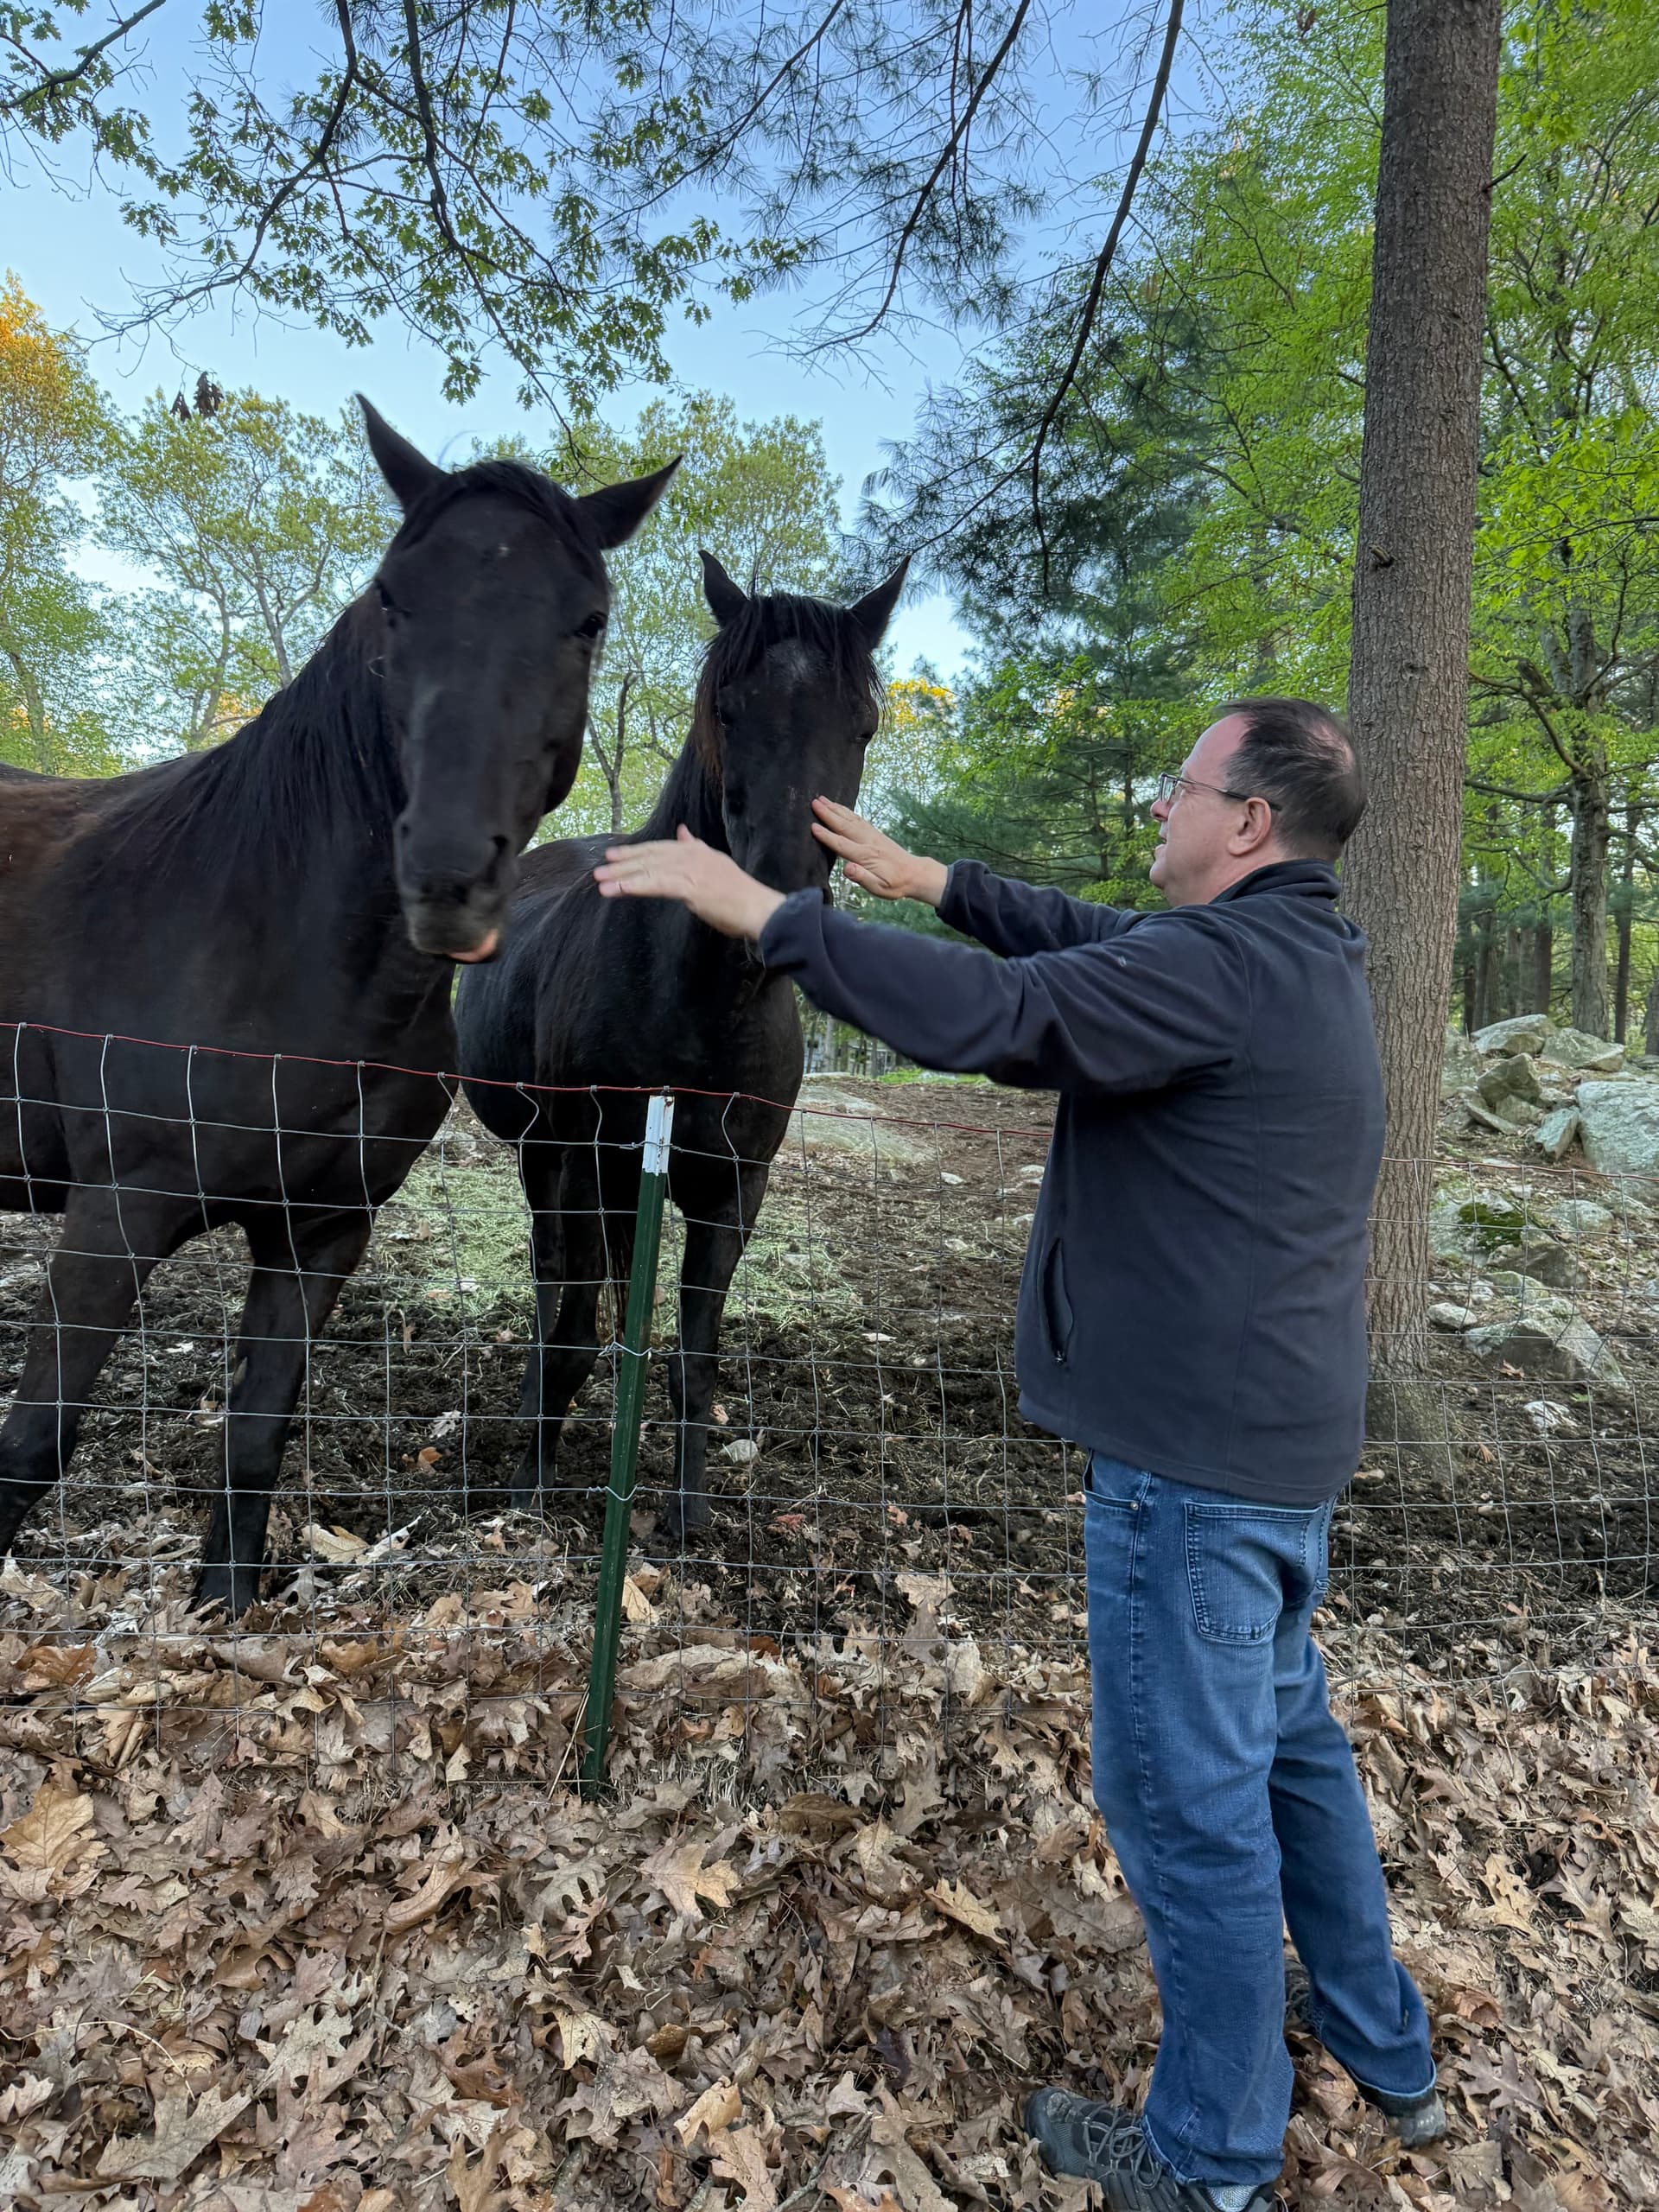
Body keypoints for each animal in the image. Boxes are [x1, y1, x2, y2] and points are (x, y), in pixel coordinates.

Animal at [0, 401, 677, 1614]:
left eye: (588, 621)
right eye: (394, 595)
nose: (447, 876)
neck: (265, 942)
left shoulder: (320, 1231)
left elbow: (256, 1434)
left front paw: (219, 1606)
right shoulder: (113, 1217)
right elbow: (37, 1440)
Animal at [454, 549, 906, 1541]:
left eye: (863, 725)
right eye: (727, 709)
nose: (775, 902)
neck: (698, 1000)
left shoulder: (736, 1186)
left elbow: (692, 1356)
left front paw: (688, 1516)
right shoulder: (589, 1155)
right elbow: (574, 1329)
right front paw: (529, 1488)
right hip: (549, 1153)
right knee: (554, 1283)